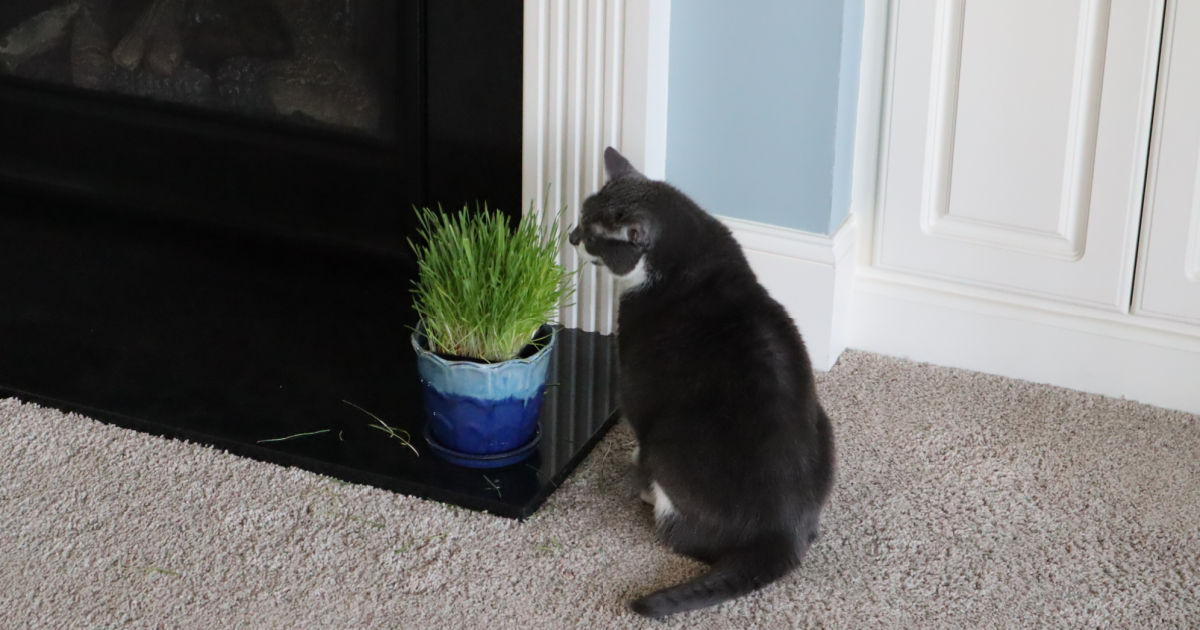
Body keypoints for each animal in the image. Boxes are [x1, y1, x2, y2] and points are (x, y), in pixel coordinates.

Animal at [568, 148, 835, 619]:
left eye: (594, 236)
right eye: (581, 216)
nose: (570, 236)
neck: (689, 253)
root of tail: (782, 535)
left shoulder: (636, 389)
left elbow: (637, 427)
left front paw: (636, 471)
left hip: (669, 443)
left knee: (683, 534)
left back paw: (651, 497)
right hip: (827, 426)